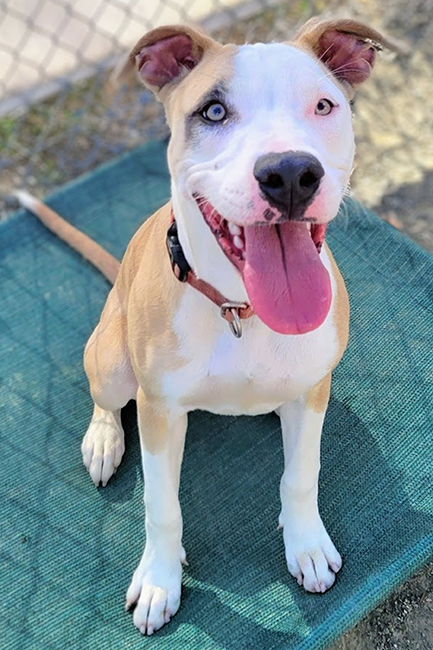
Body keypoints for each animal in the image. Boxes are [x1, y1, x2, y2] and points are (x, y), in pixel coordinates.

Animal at [18, 17, 396, 636]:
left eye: (324, 105)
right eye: (213, 112)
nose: (290, 174)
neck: (239, 308)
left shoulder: (312, 392)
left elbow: (302, 473)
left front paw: (306, 544)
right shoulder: (159, 411)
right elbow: (161, 507)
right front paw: (159, 579)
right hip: (114, 362)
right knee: (106, 400)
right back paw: (103, 439)